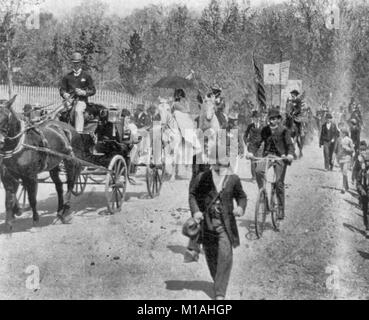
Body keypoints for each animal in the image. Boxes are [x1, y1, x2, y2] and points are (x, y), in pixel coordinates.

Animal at [0, 96, 82, 231]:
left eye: (5, 117)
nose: (0, 141)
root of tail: (69, 128)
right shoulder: (8, 176)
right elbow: (9, 199)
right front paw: (10, 221)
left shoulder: (31, 176)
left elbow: (32, 198)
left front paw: (35, 220)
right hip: (53, 165)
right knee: (59, 186)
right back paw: (59, 211)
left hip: (70, 161)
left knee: (70, 184)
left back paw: (66, 212)